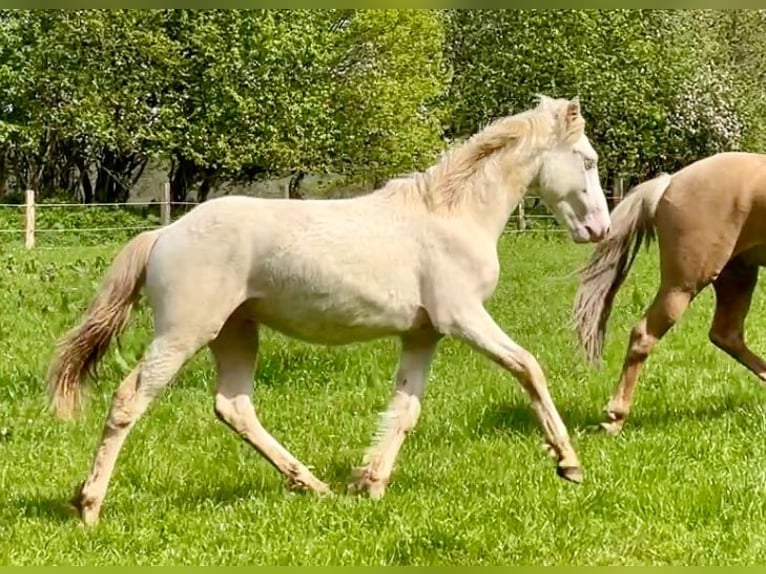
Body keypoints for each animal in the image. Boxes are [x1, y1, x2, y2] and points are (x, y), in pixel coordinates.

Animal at [46, 94, 612, 528]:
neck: (450, 216)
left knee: (234, 406)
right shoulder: (463, 318)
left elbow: (405, 409)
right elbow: (529, 368)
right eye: (586, 160)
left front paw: (370, 482)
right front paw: (569, 464)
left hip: (236, 332)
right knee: (129, 400)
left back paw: (312, 485)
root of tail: (164, 233)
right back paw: (89, 506)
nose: (600, 229)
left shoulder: (424, 334)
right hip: (185, 332)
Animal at [576, 153, 766, 436]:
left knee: (726, 334)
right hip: (683, 285)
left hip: (737, 275)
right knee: (643, 335)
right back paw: (615, 418)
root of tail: (669, 182)